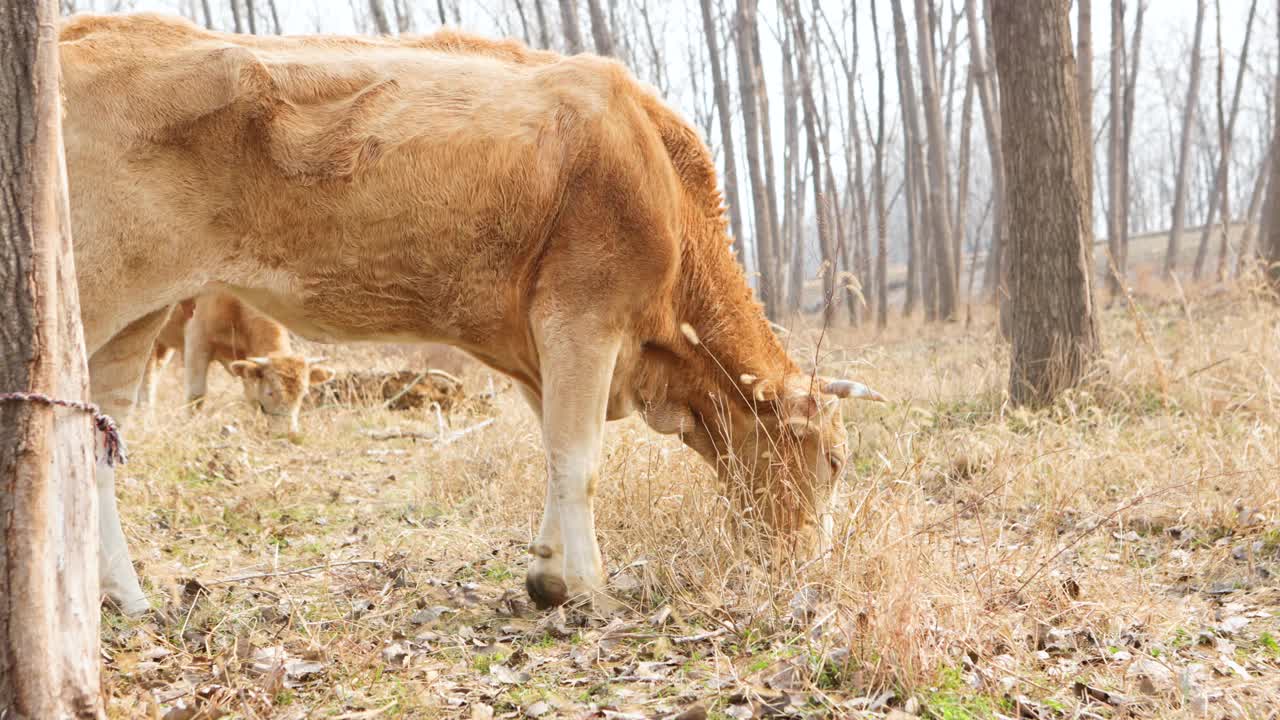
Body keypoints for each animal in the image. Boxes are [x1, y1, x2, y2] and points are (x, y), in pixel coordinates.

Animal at [137, 292, 335, 430]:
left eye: (303, 394)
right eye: (271, 392)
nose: (289, 433)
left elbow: (252, 398)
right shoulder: (197, 340)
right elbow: (196, 396)